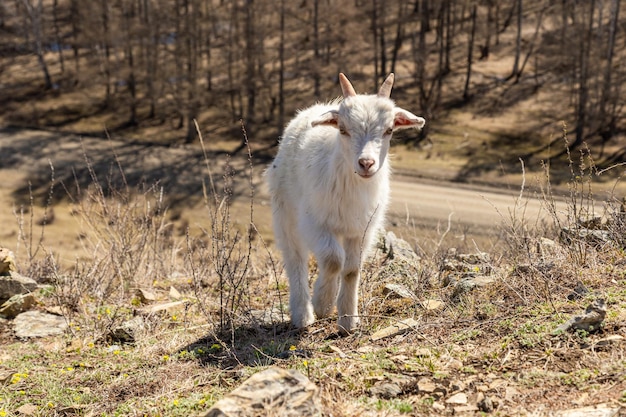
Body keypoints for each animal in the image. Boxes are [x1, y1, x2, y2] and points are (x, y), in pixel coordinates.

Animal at [264, 72, 424, 332]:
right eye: (343, 129)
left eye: (389, 130)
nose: (366, 163)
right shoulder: (314, 222)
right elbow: (332, 261)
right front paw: (323, 304)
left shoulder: (362, 230)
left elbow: (351, 269)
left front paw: (348, 320)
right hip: (285, 212)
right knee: (295, 258)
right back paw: (303, 314)